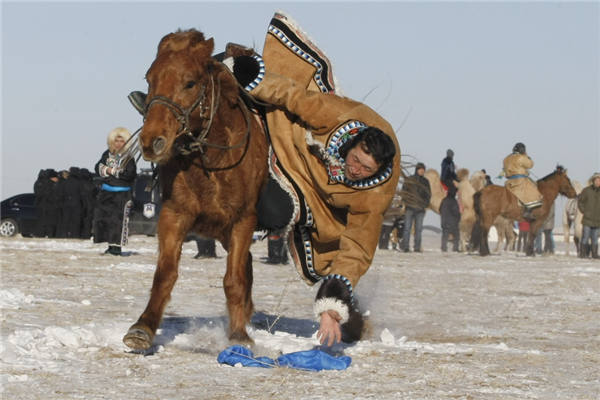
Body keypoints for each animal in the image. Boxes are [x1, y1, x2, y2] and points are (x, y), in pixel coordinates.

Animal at [122, 28, 268, 350]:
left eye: (189, 82)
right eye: (150, 79)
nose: (151, 141)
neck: (212, 162)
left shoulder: (244, 220)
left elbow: (233, 279)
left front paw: (239, 335)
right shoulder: (174, 214)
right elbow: (165, 273)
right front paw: (143, 327)